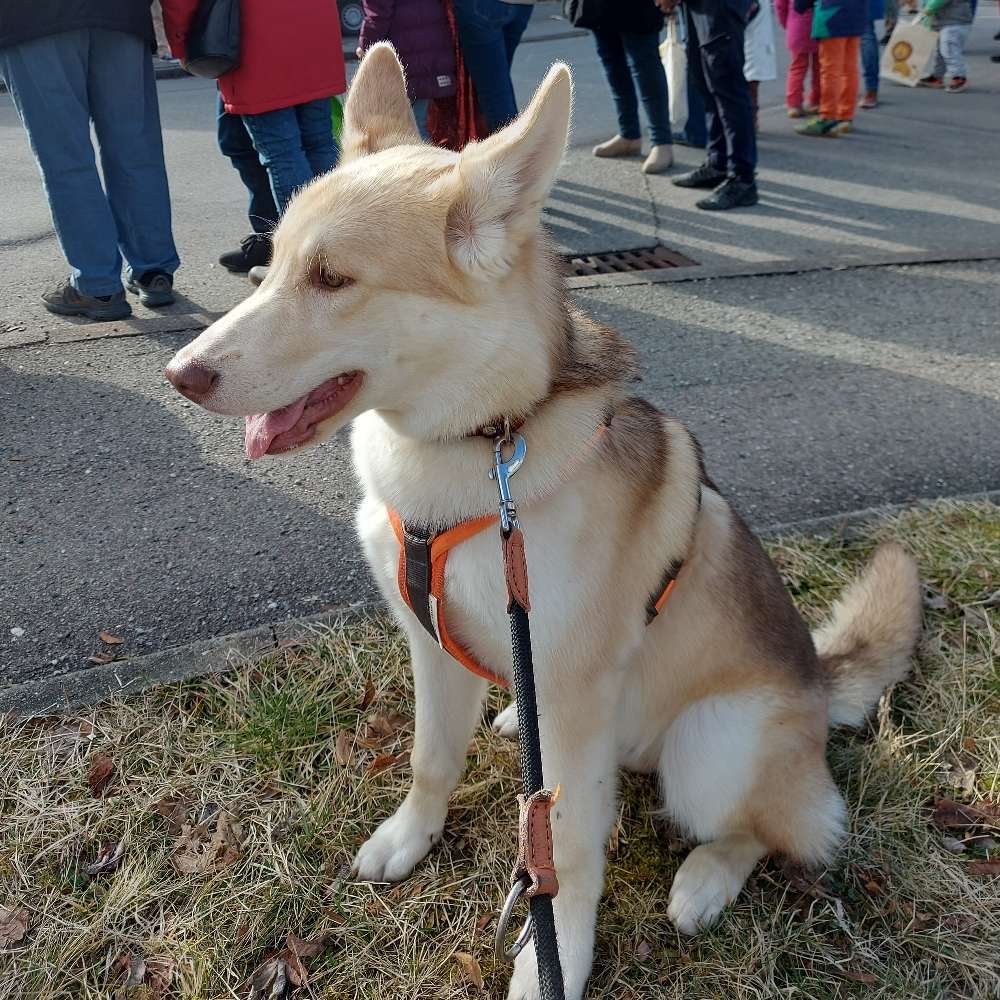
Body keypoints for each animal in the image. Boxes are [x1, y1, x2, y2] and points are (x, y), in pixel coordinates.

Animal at [164, 47, 920, 1000]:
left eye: (332, 279)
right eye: (270, 265)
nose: (179, 374)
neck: (481, 443)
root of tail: (821, 680)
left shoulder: (571, 696)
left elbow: (564, 852)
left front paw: (552, 959)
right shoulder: (431, 647)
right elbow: (431, 760)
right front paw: (410, 839)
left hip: (711, 747)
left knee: (781, 827)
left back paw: (706, 879)